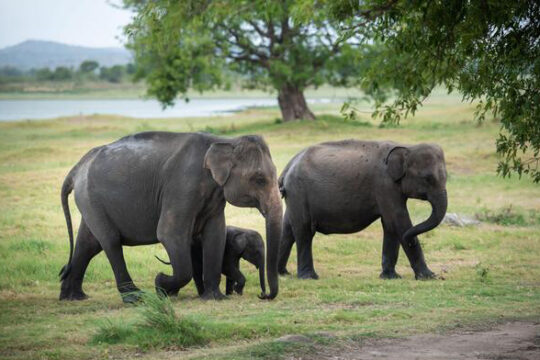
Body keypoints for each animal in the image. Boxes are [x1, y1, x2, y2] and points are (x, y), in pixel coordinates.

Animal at [59, 131, 282, 302]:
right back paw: (136, 298)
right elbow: (169, 233)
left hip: (90, 201)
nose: (263, 295)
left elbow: (215, 235)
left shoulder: (215, 197)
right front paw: (160, 284)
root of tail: (76, 168)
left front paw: (215, 297)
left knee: (88, 244)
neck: (224, 140)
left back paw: (73, 297)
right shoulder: (182, 186)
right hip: (91, 198)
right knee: (111, 242)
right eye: (259, 179)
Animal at [278, 141, 448, 282]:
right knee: (305, 231)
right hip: (299, 192)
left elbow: (390, 225)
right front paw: (430, 277)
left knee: (287, 230)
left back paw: (283, 273)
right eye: (427, 179)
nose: (411, 240)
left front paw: (390, 277)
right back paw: (309, 277)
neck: (407, 147)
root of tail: (287, 168)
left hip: (293, 197)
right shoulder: (385, 185)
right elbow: (398, 220)